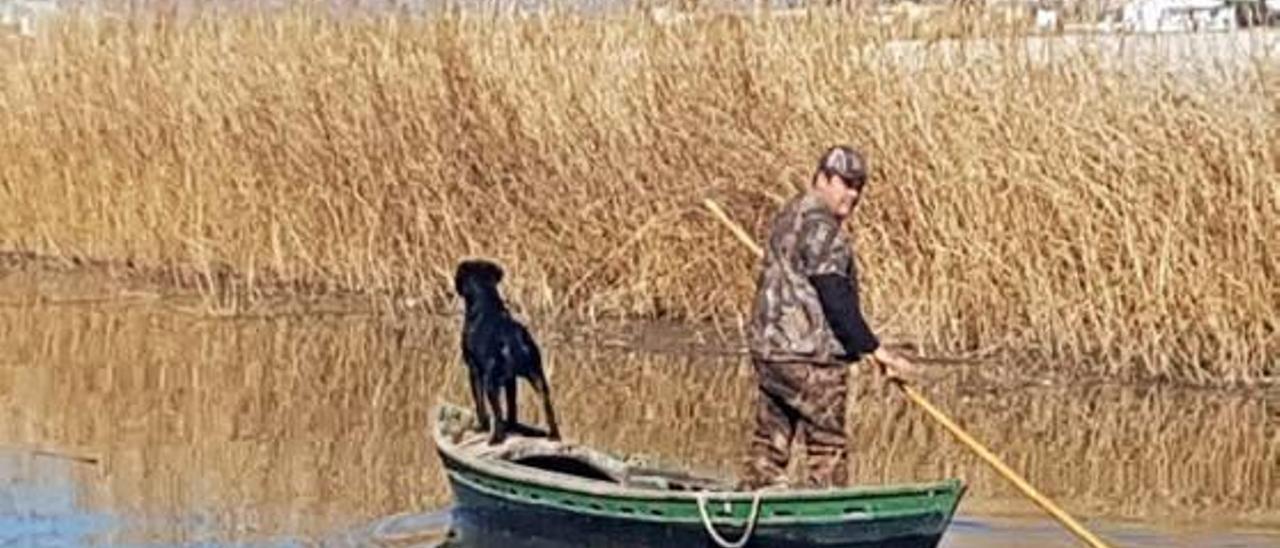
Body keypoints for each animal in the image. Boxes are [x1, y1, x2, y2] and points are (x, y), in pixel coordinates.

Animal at [458, 259, 563, 445]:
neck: (486, 305)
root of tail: (513, 338)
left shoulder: (473, 370)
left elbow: (480, 405)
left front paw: (481, 427)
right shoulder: (510, 379)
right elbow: (512, 407)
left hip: (491, 383)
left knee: (497, 413)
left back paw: (495, 439)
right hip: (538, 378)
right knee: (547, 406)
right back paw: (554, 436)